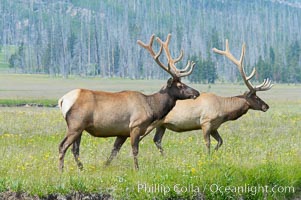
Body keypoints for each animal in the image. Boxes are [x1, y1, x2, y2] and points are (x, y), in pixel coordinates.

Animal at [58, 33, 199, 171]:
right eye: (180, 85)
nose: (196, 92)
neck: (152, 107)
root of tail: (62, 100)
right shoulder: (135, 125)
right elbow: (135, 150)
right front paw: (137, 169)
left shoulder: (122, 132)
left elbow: (114, 151)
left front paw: (105, 166)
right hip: (76, 124)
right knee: (62, 145)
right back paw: (61, 170)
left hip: (80, 128)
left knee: (75, 149)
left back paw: (82, 169)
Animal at [141, 39, 272, 155]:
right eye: (255, 97)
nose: (266, 106)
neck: (224, 111)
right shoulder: (205, 122)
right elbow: (207, 143)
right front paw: (208, 157)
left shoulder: (214, 127)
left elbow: (220, 141)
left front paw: (214, 154)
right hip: (150, 124)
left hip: (161, 125)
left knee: (157, 140)